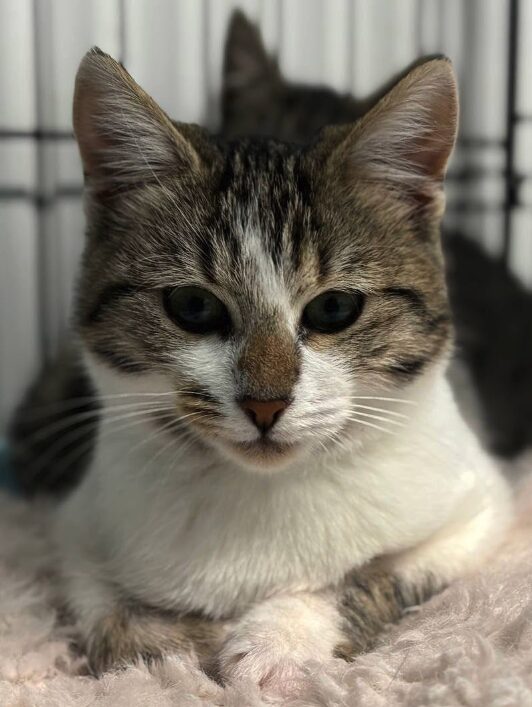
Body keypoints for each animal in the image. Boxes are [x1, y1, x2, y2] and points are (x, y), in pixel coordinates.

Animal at [12, 47, 510, 688]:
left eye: (335, 308)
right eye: (193, 306)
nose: (265, 404)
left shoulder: (485, 509)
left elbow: (381, 572)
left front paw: (282, 639)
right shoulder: (77, 524)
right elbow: (100, 607)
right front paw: (166, 643)